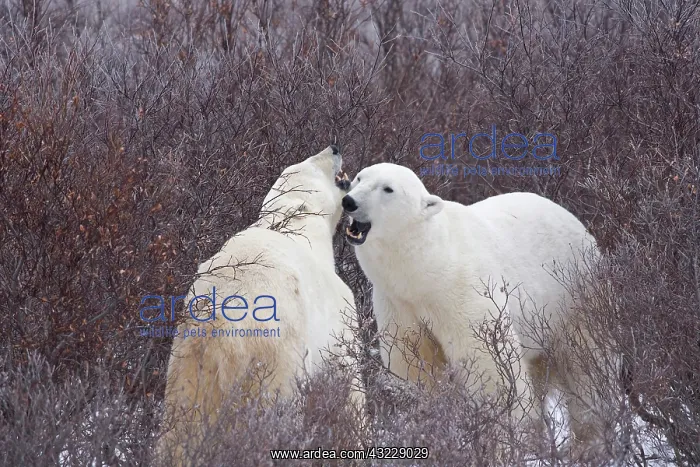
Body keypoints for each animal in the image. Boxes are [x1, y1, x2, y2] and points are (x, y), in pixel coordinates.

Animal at [157, 146, 361, 465]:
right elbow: (348, 381)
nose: (334, 148)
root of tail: (219, 324)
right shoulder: (336, 312)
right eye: (312, 163)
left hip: (187, 356)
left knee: (181, 423)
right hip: (274, 357)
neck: (295, 227)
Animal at [340, 162, 606, 452]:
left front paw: (500, 436)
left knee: (588, 367)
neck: (427, 268)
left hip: (574, 297)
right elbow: (414, 363)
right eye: (359, 178)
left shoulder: (464, 291)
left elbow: (491, 366)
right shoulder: (397, 303)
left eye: (387, 188)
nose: (349, 201)